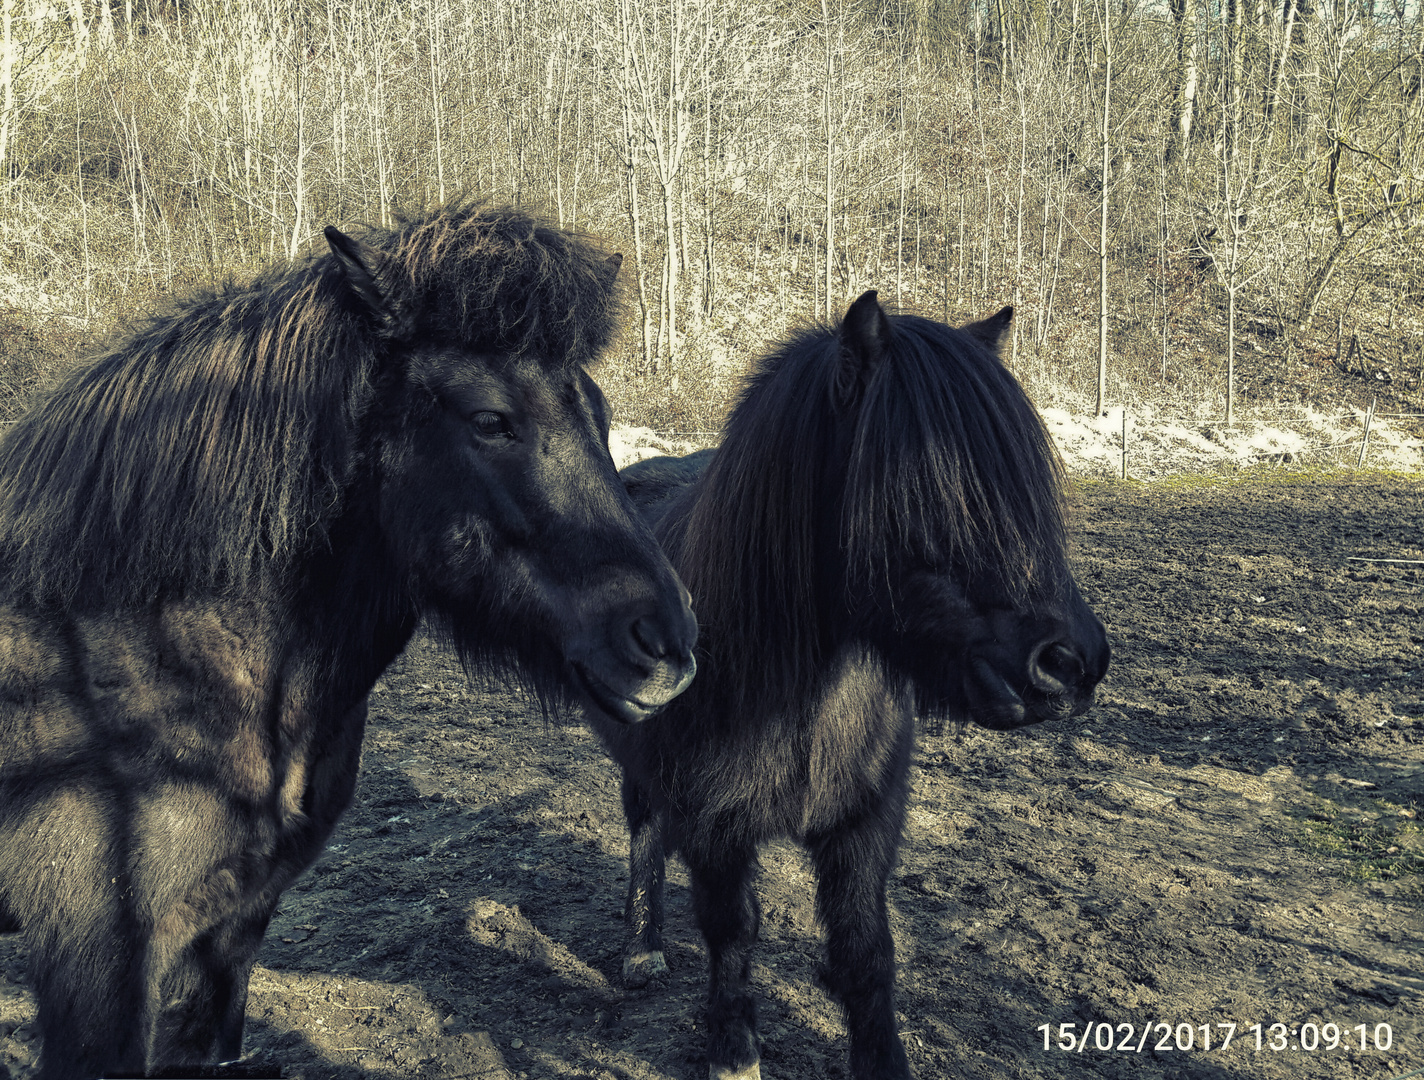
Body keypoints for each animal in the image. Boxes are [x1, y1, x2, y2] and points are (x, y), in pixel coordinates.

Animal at [606, 292, 1105, 1080]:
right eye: (917, 489)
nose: (1072, 664)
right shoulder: (714, 828)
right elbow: (731, 935)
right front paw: (733, 1052)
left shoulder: (865, 821)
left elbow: (865, 950)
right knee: (643, 829)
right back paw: (641, 947)